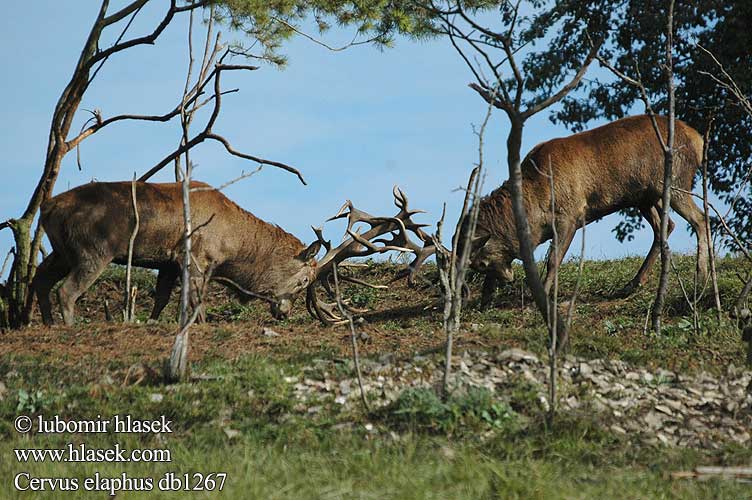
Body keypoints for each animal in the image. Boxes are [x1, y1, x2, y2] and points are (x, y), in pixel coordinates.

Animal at [33, 182, 320, 326]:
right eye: (304, 280)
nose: (285, 313)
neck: (231, 245)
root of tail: (47, 208)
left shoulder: (167, 262)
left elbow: (161, 298)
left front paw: (152, 322)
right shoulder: (195, 257)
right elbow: (196, 299)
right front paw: (200, 324)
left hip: (62, 252)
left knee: (40, 277)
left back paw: (47, 322)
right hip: (94, 249)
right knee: (66, 290)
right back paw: (68, 326)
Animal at [468, 114, 708, 306]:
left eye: (481, 263)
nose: (508, 279)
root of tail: (698, 140)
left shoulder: (570, 215)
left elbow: (553, 259)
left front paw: (539, 298)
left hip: (676, 182)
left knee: (700, 219)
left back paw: (702, 277)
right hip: (645, 197)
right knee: (665, 226)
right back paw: (632, 284)